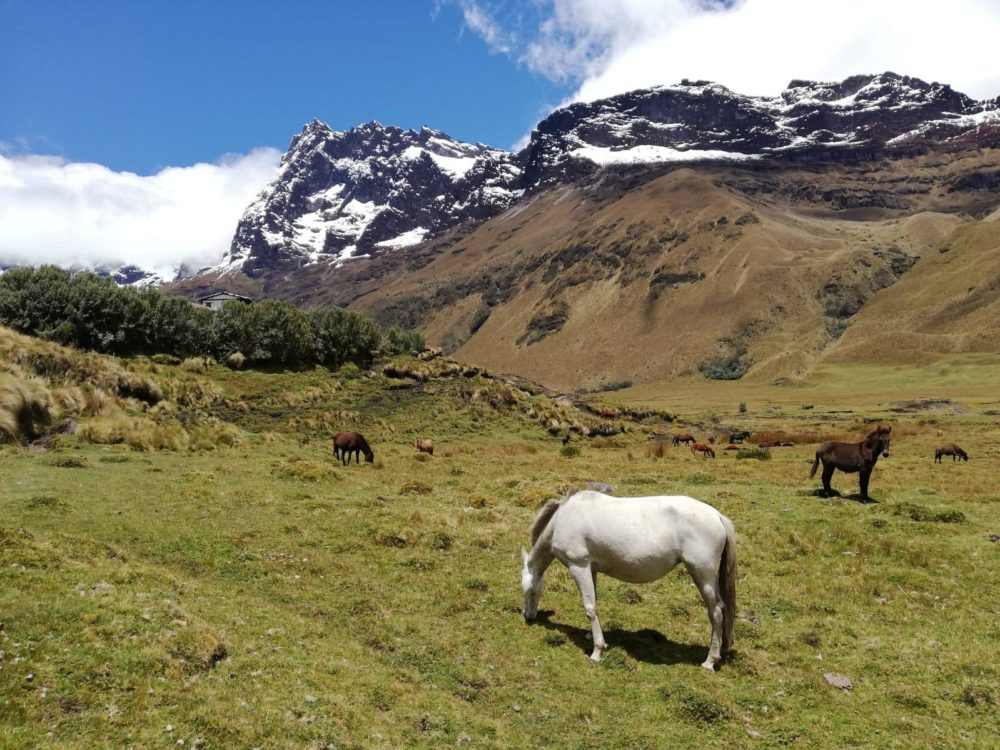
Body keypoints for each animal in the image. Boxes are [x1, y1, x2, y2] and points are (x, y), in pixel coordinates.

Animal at [520, 490, 740, 672]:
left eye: (529, 591)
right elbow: (594, 603)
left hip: (702, 576)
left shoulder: (579, 566)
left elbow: (589, 607)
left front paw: (597, 651)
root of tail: (717, 516)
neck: (563, 519)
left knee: (716, 611)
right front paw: (592, 636)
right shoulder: (591, 569)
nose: (528, 617)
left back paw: (710, 661)